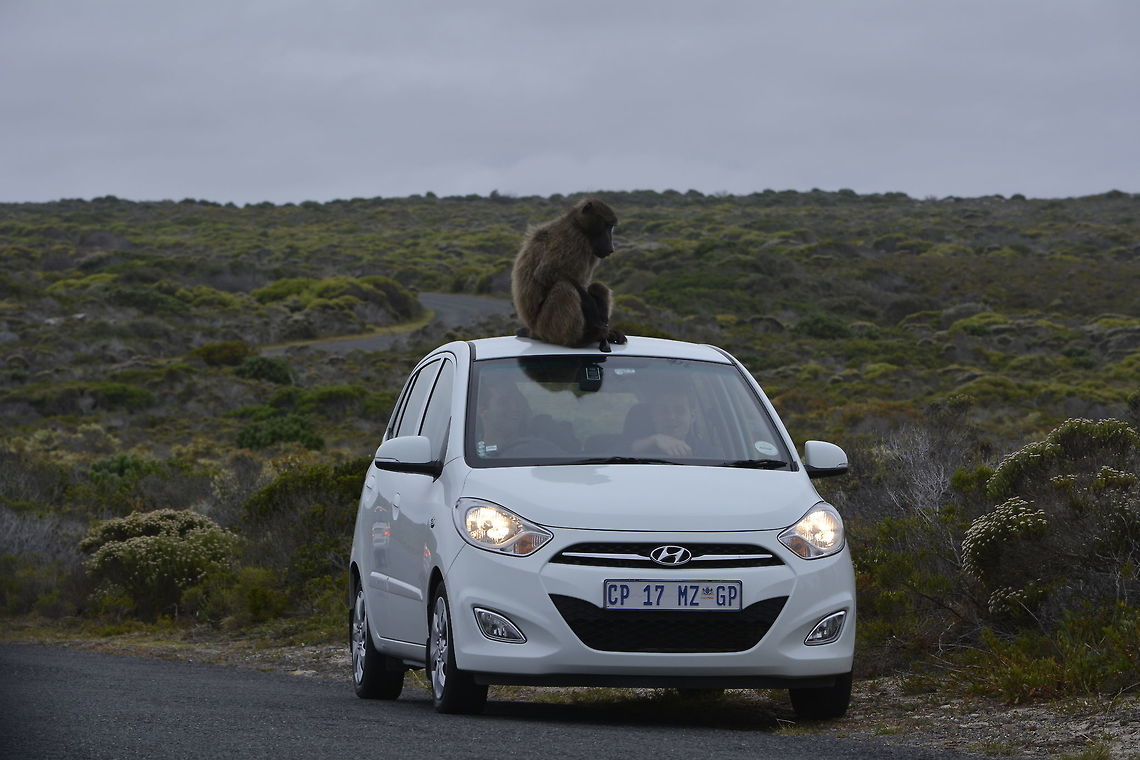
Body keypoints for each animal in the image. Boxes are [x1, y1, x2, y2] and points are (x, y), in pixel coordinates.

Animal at [511, 198, 627, 353]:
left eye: (611, 227)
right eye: (606, 226)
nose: (611, 248)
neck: (577, 224)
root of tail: (532, 330)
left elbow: (584, 285)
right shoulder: (573, 239)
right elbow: (545, 273)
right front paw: (594, 312)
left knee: (597, 287)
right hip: (544, 326)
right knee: (564, 288)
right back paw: (583, 338)